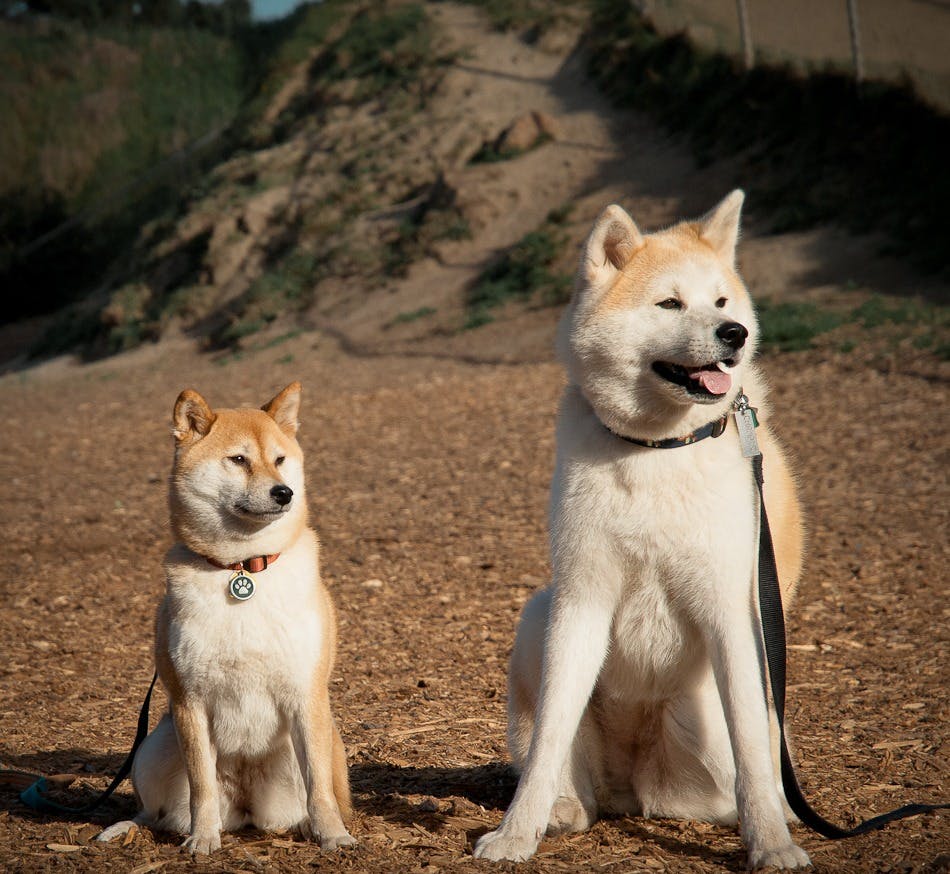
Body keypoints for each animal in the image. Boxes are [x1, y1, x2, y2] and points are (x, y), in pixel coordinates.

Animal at [98, 380, 356, 852]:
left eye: (280, 460)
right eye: (238, 459)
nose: (284, 492)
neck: (244, 569)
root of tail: (246, 809)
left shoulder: (306, 695)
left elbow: (320, 791)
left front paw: (333, 836)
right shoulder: (189, 701)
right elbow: (201, 787)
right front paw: (202, 840)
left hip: (323, 742)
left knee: (309, 799)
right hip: (153, 746)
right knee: (154, 813)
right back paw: (124, 829)